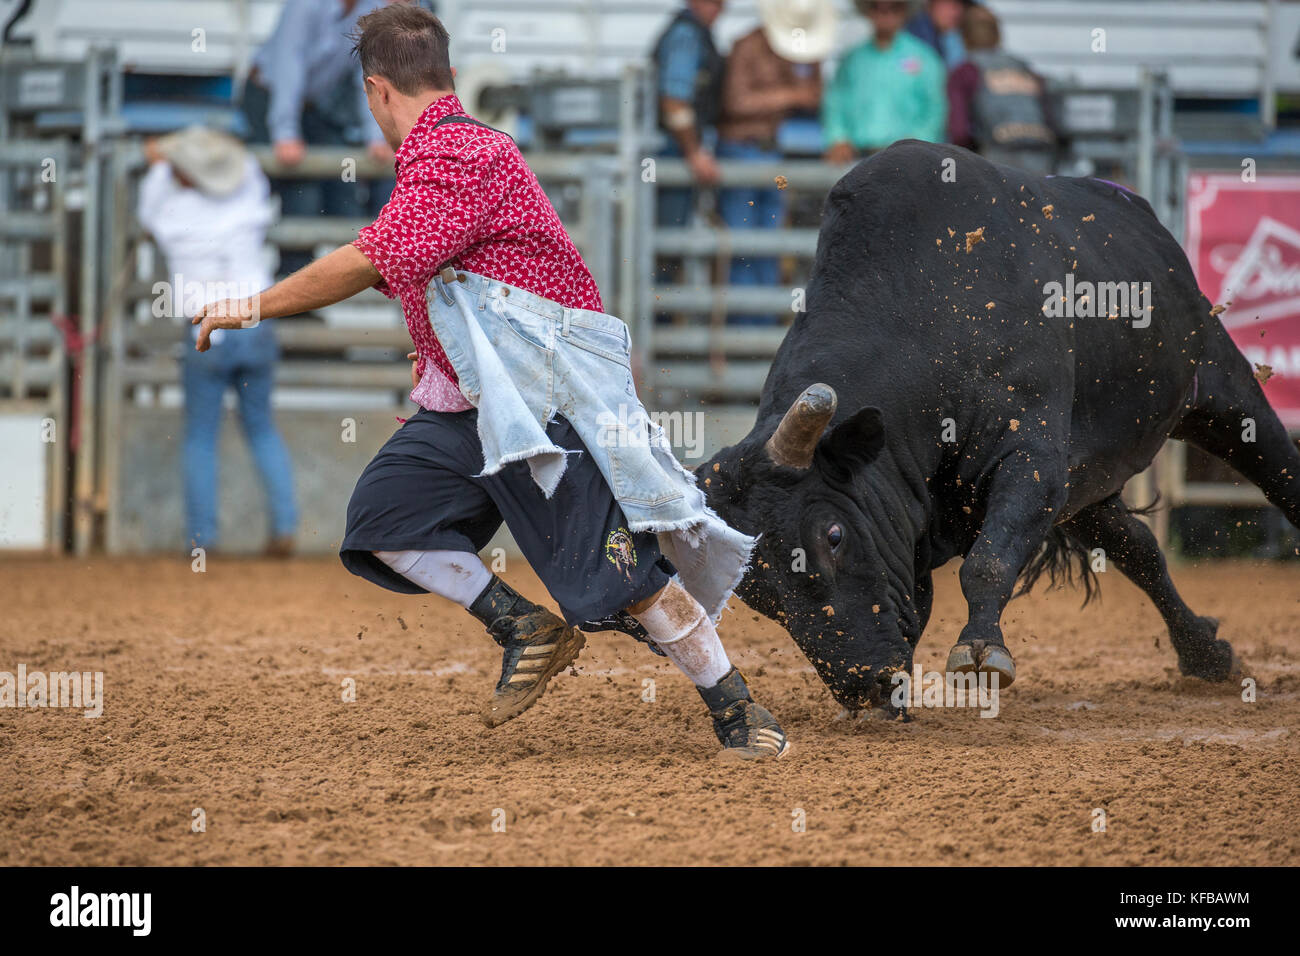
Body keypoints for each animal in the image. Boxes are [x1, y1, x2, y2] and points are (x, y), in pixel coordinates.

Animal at [702, 138, 1300, 712]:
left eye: (833, 534)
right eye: (756, 589)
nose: (860, 684)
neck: (924, 316)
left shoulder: (1032, 461)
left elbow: (987, 562)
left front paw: (981, 649)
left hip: (1219, 385)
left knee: (1280, 472)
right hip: (1087, 488)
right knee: (1141, 550)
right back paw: (1205, 652)